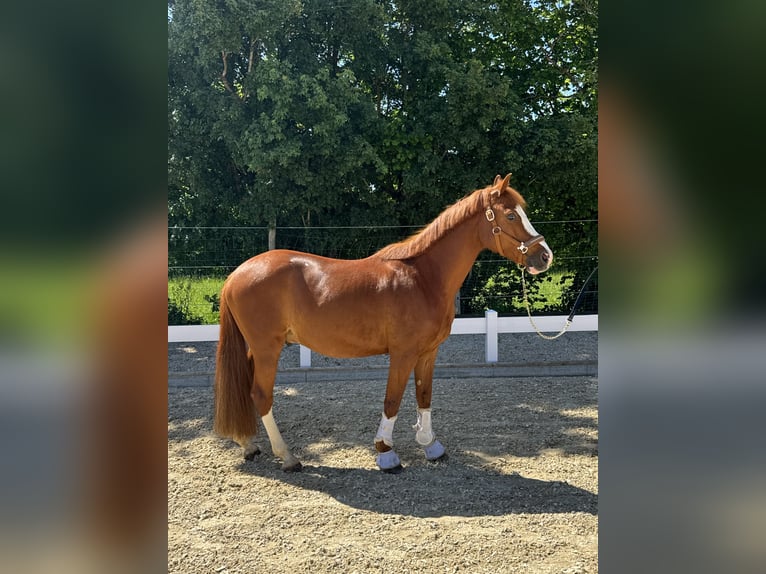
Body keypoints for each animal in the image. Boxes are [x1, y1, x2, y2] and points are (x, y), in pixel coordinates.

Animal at [213, 174, 553, 473]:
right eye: (510, 215)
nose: (545, 257)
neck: (423, 278)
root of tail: (237, 273)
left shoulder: (428, 353)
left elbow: (424, 396)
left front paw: (431, 446)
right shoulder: (403, 354)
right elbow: (393, 400)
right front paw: (386, 452)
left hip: (257, 349)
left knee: (246, 388)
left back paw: (249, 444)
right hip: (267, 349)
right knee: (261, 395)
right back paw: (287, 457)